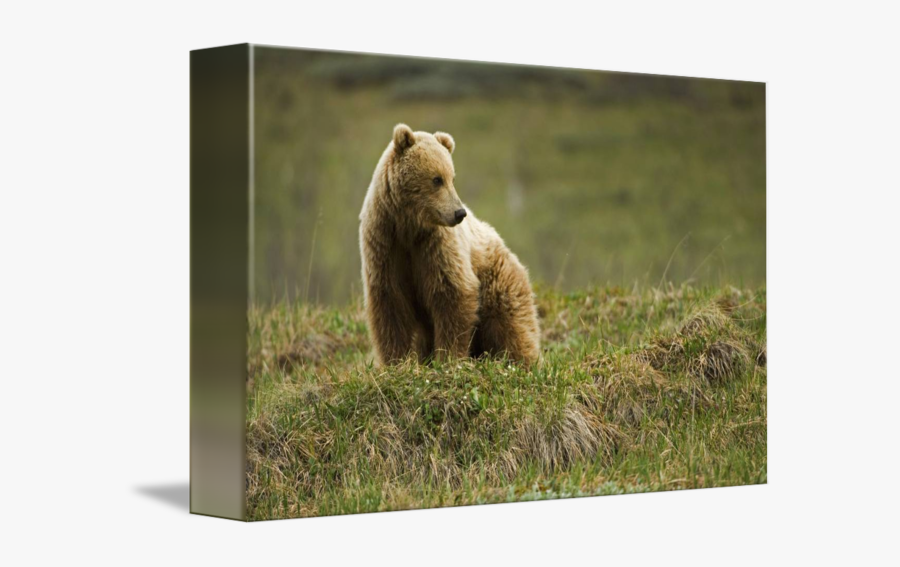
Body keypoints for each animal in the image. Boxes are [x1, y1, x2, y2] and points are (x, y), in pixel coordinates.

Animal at [359, 123, 541, 366]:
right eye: (437, 179)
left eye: (452, 178)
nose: (459, 212)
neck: (409, 226)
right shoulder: (385, 244)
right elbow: (390, 305)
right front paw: (396, 361)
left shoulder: (436, 246)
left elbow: (452, 293)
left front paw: (448, 358)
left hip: (498, 281)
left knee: (512, 325)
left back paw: (523, 361)